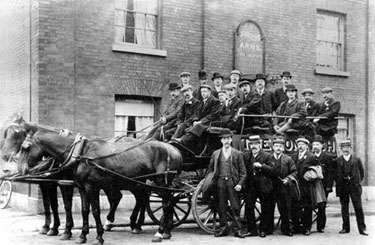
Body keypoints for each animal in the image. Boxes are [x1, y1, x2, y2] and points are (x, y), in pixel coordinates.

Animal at [3, 123, 183, 244]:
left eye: (25, 147)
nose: (21, 168)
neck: (80, 153)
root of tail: (173, 149)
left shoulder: (91, 187)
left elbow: (94, 210)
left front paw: (97, 236)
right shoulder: (81, 187)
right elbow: (84, 210)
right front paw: (82, 235)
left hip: (161, 182)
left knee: (166, 203)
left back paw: (159, 233)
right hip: (140, 182)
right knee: (150, 199)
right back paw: (160, 230)